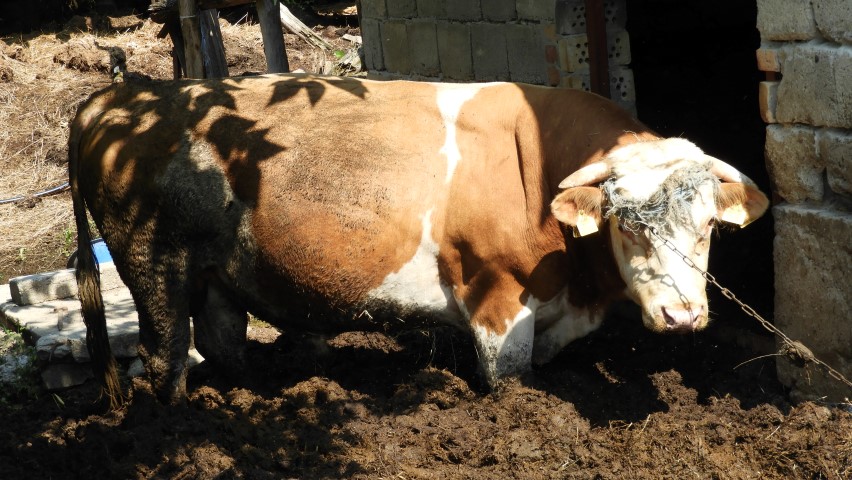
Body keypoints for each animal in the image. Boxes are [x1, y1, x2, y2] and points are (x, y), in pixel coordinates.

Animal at [69, 74, 769, 407]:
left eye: (708, 227)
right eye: (626, 224)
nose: (682, 315)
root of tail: (117, 96)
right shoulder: (495, 300)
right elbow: (508, 379)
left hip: (218, 272)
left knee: (221, 339)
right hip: (154, 266)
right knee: (164, 356)